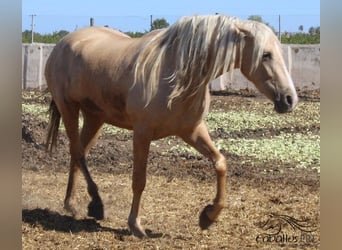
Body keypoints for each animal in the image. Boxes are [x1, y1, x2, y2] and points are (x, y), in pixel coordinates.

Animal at [44, 14, 296, 237]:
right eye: (266, 55)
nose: (289, 99)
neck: (176, 76)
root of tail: (63, 43)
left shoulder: (192, 130)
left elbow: (220, 163)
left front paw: (208, 216)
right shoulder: (142, 133)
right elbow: (139, 180)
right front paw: (135, 225)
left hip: (95, 117)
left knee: (79, 153)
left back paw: (72, 204)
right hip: (69, 108)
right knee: (77, 151)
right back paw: (95, 204)